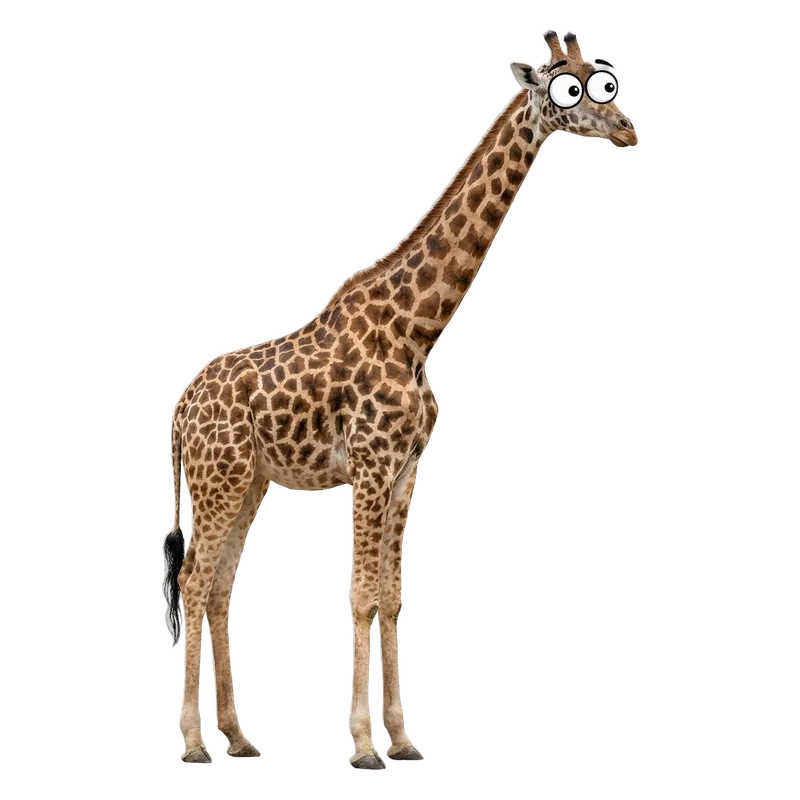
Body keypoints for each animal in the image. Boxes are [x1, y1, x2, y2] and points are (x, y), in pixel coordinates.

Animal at [161, 32, 638, 768]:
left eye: (604, 80)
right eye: (572, 89)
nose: (628, 129)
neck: (418, 328)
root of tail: (180, 411)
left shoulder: (409, 470)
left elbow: (391, 598)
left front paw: (404, 740)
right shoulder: (369, 466)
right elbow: (360, 597)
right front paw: (363, 746)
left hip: (248, 485)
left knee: (216, 586)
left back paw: (238, 739)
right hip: (219, 483)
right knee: (190, 581)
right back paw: (191, 745)